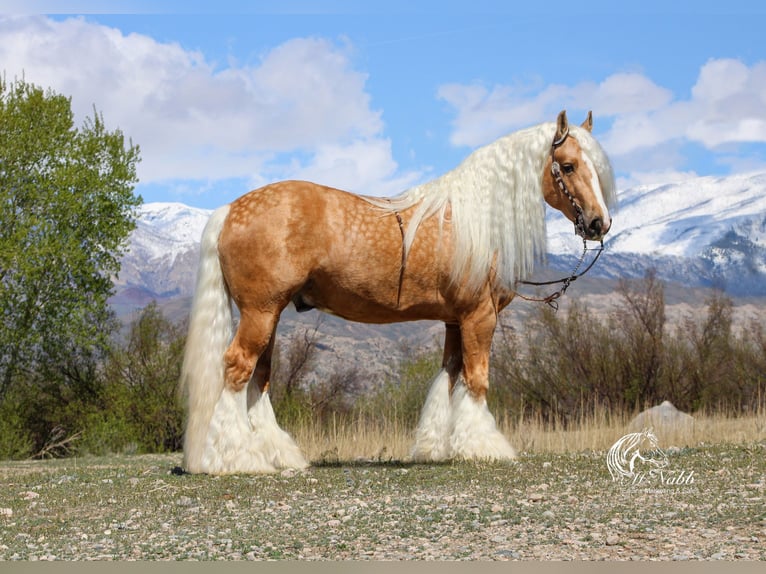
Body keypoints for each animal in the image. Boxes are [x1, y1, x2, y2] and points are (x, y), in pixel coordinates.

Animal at [180, 110, 617, 474]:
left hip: (268, 314)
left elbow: (449, 378)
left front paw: (437, 447)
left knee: (259, 378)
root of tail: (229, 210)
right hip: (260, 311)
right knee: (237, 368)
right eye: (568, 166)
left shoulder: (454, 321)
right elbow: (477, 380)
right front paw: (484, 446)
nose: (600, 223)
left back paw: (278, 455)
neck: (474, 219)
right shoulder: (479, 316)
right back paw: (236, 459)